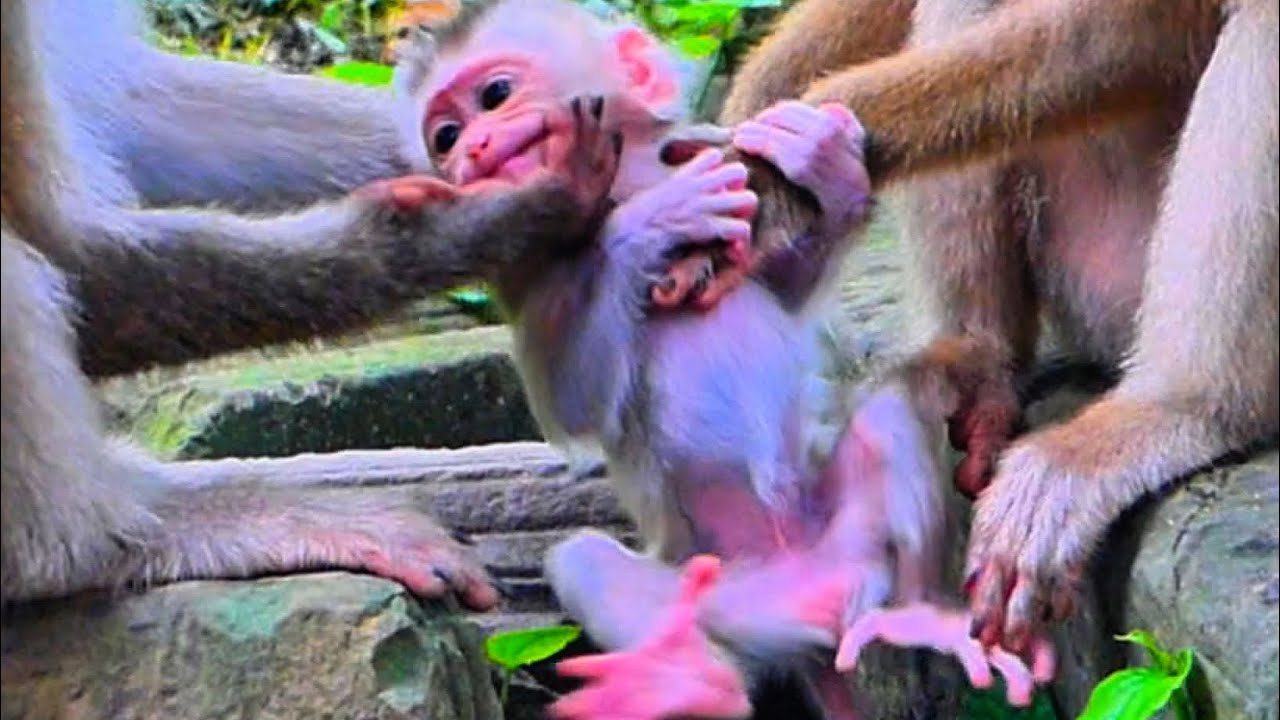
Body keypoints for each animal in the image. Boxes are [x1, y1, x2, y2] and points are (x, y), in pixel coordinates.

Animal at [390, 3, 1055, 717]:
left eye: (494, 95)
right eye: (445, 136)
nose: (472, 151)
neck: (626, 183)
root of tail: (820, 607)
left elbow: (783, 285)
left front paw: (831, 173)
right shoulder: (521, 264)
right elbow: (573, 410)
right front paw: (655, 221)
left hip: (854, 544)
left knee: (890, 407)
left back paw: (919, 614)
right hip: (723, 599)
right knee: (584, 561)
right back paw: (688, 680)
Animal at [691, 0, 1280, 654]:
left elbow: (1142, 24)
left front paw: (784, 167)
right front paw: (760, 105)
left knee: (1263, 25)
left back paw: (1187, 407)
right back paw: (975, 354)